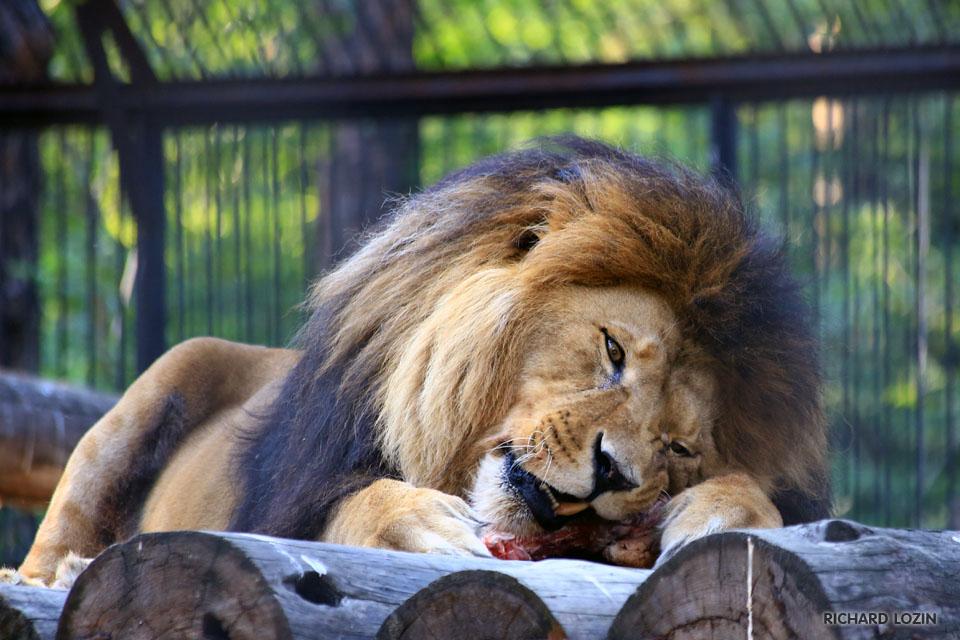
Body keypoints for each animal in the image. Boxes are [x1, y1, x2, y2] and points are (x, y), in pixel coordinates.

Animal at [13, 138, 824, 588]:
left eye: (678, 447)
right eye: (613, 351)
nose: (612, 473)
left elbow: (760, 502)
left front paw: (723, 514)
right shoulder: (285, 502)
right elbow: (355, 504)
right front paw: (423, 523)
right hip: (157, 385)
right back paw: (60, 575)